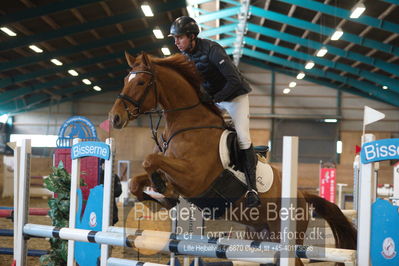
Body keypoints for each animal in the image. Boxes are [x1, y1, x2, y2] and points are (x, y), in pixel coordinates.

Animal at [108, 51, 356, 264]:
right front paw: (158, 198)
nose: (115, 118)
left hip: (286, 238)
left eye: (141, 82)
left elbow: (150, 160)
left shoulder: (194, 178)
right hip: (259, 235)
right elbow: (137, 179)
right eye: (125, 79)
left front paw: (163, 191)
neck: (188, 125)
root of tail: (303, 195)